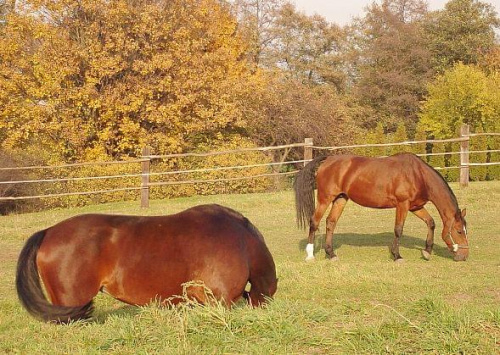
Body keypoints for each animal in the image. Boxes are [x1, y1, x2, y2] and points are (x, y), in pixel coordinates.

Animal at [292, 153, 468, 262]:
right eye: (459, 231)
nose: (464, 255)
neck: (418, 175)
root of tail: (327, 160)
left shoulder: (415, 207)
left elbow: (431, 223)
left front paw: (427, 252)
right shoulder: (402, 205)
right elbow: (398, 229)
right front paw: (397, 256)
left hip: (340, 199)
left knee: (330, 222)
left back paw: (331, 254)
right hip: (325, 199)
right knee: (314, 222)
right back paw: (310, 255)